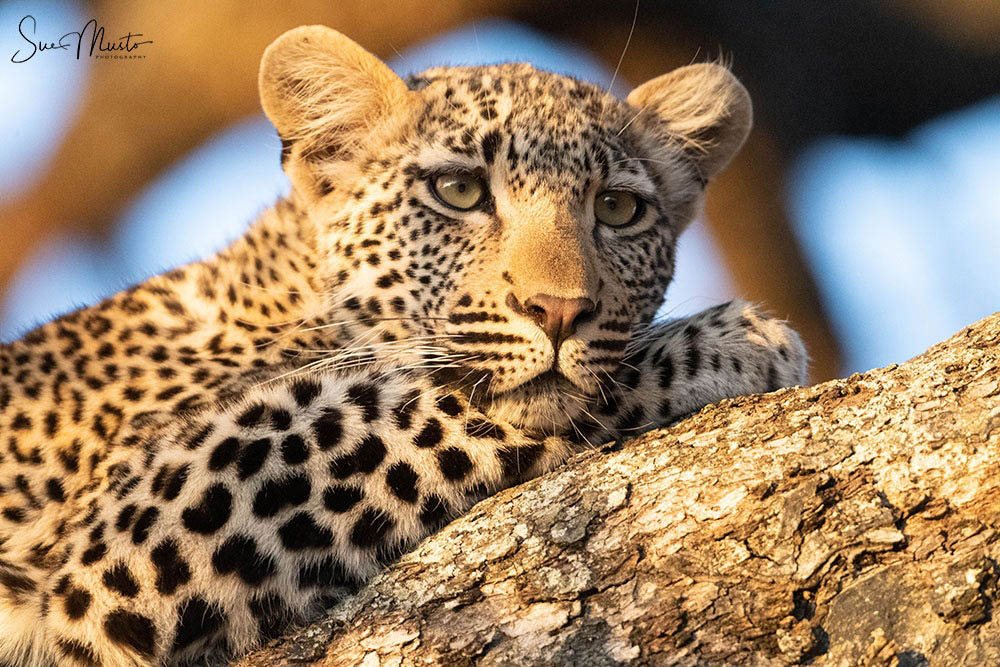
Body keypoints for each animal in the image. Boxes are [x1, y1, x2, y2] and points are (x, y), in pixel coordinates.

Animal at [0, 25, 807, 666]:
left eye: (617, 208)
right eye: (459, 191)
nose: (560, 310)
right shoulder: (117, 544)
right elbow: (402, 407)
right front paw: (735, 341)